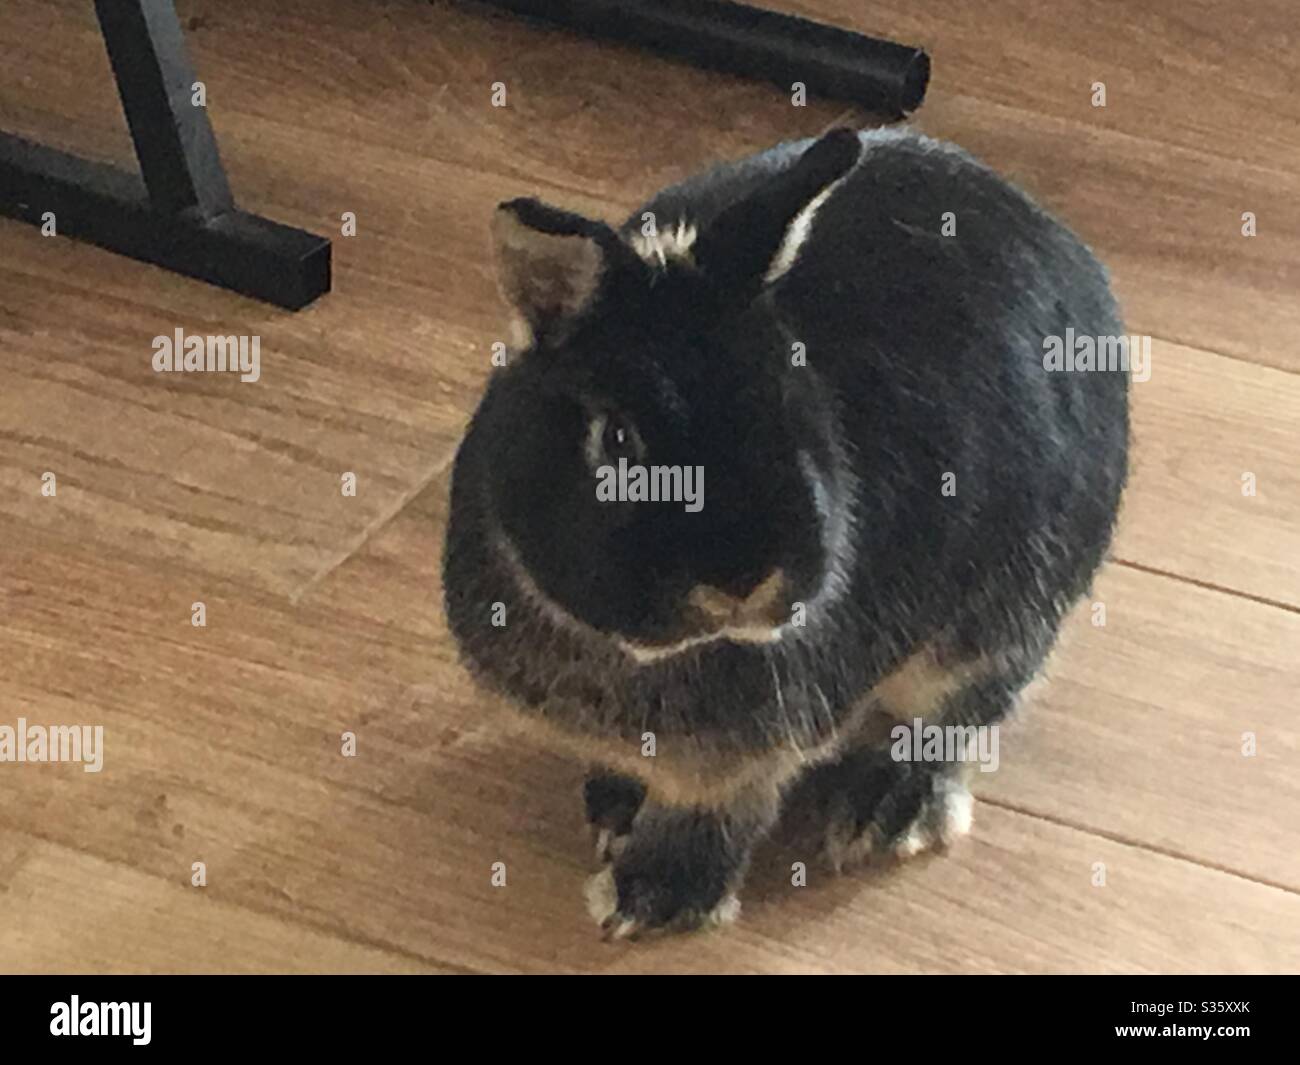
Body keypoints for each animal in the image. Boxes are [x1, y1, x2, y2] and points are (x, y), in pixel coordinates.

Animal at [444, 124, 1128, 936]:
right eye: (615, 439)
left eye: (786, 400)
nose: (743, 579)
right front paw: (612, 810)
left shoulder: (754, 747)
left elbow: (717, 809)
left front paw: (650, 898)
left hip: (1004, 615)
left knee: (957, 717)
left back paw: (884, 809)